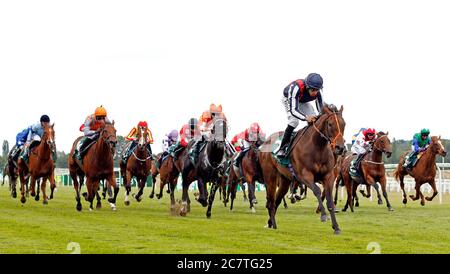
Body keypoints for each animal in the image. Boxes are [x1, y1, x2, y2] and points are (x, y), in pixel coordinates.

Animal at [256, 104, 344, 234]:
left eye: (344, 124)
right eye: (330, 124)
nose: (340, 148)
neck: (317, 147)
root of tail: (266, 142)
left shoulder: (328, 177)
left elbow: (330, 201)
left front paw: (336, 227)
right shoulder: (304, 175)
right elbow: (317, 190)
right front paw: (323, 215)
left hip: (285, 180)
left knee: (277, 200)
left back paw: (271, 223)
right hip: (270, 177)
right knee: (271, 202)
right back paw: (274, 225)